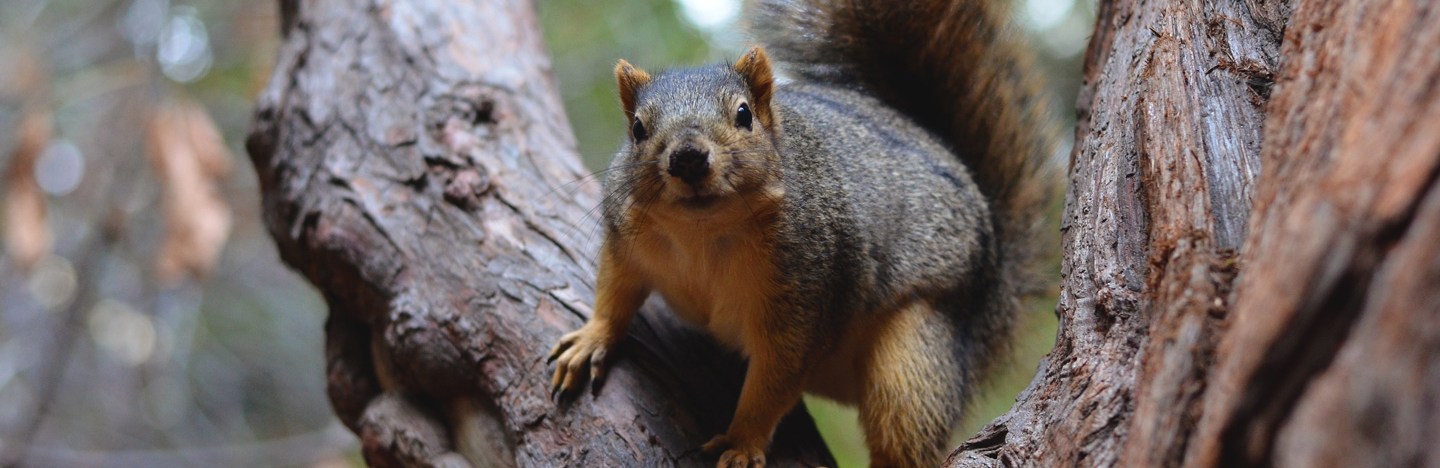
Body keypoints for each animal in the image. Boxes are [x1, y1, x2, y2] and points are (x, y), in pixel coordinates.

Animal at [548, 0, 1056, 466]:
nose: (688, 157)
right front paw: (592, 338)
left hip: (917, 344)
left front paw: (742, 442)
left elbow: (776, 378)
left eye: (744, 114)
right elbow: (615, 290)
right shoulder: (625, 239)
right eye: (637, 128)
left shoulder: (809, 294)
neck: (702, 233)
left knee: (904, 425)